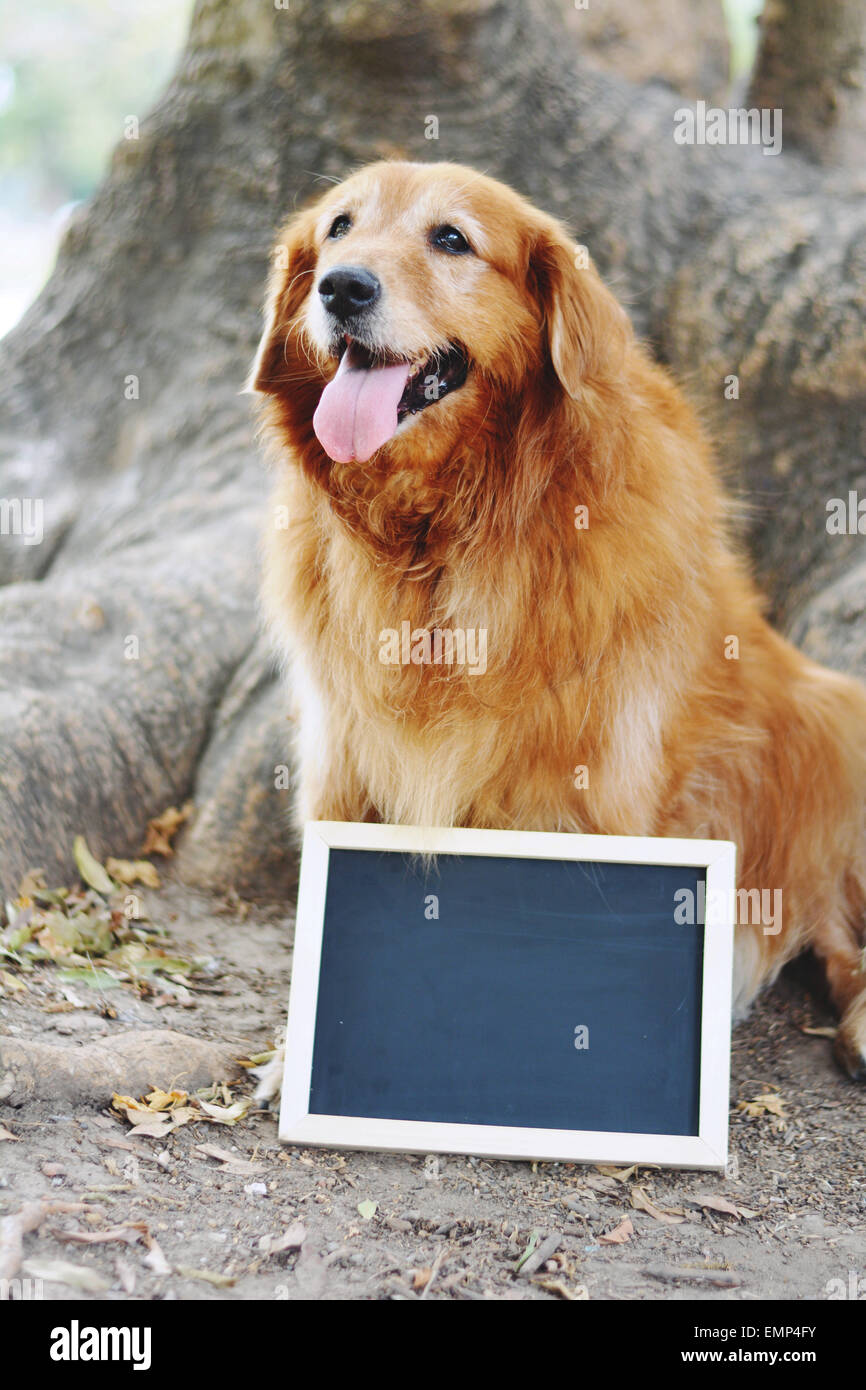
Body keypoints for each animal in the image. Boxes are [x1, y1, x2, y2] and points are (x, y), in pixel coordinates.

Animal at [248, 159, 866, 1073]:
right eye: (339, 228)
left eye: (452, 238)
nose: (342, 287)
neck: (444, 536)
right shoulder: (343, 757)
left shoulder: (595, 787)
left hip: (832, 724)